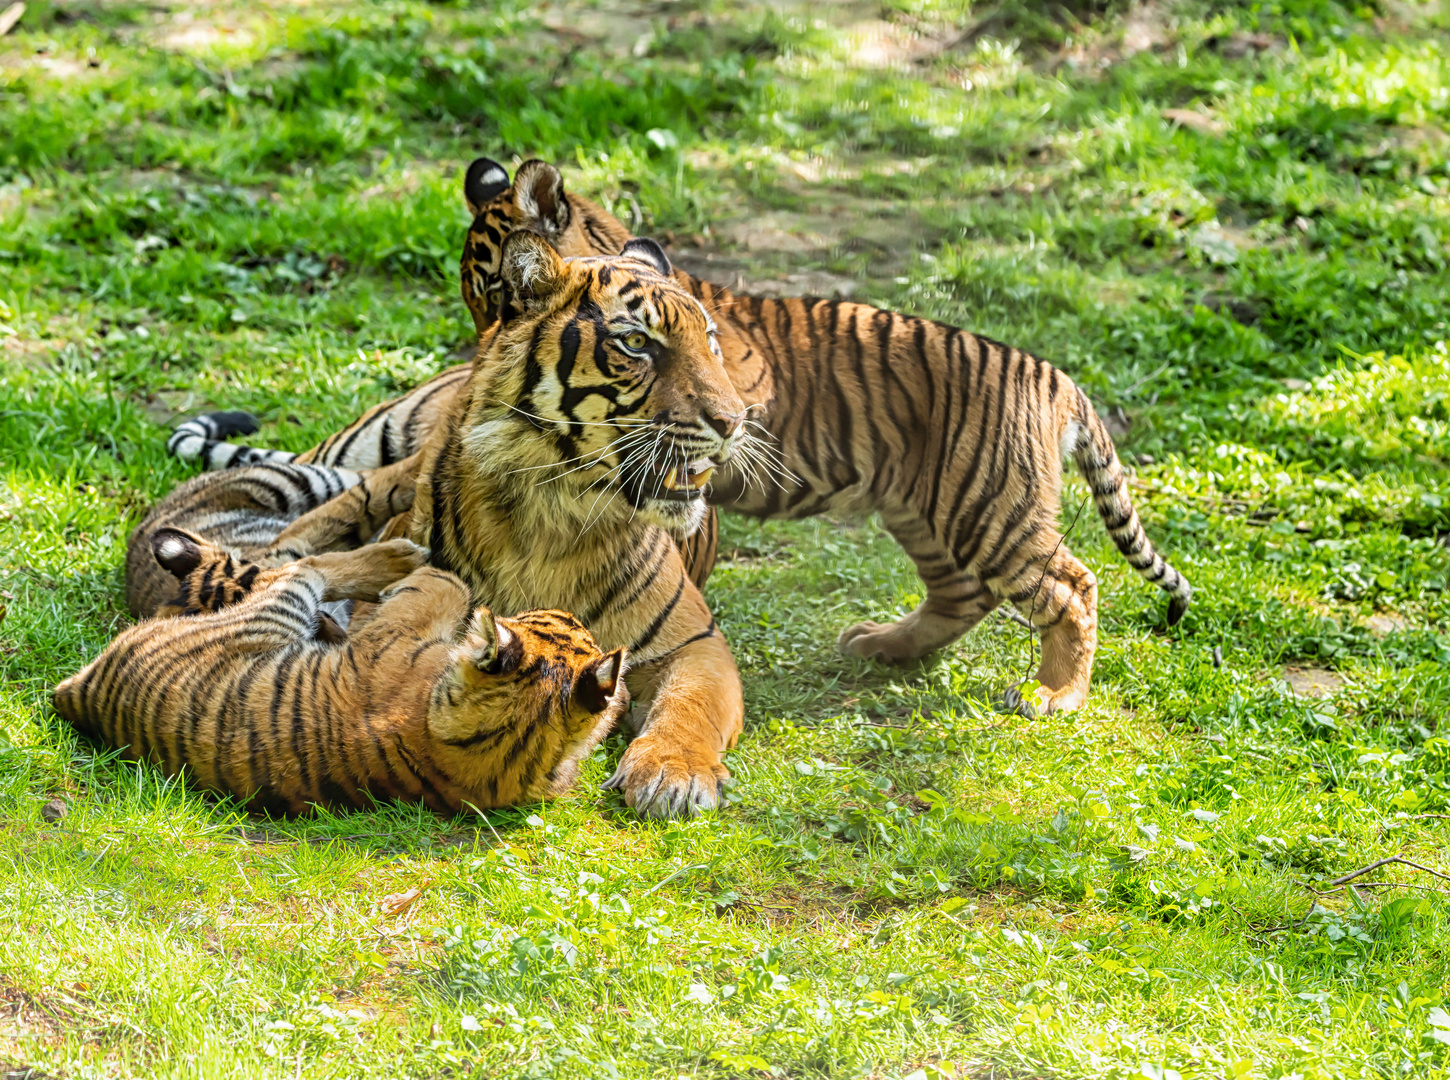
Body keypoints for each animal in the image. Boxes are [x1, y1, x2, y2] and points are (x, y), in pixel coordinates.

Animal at [53, 530, 632, 817]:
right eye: (561, 622)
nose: (573, 614)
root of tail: (77, 692)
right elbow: (447, 586)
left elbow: (443, 586)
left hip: (275, 607)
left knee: (299, 568)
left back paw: (396, 556)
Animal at [169, 151, 1189, 719]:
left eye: (493, 291)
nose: (478, 351)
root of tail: (1055, 375)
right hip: (925, 511)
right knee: (963, 594)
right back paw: (884, 645)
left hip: (988, 507)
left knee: (1072, 586)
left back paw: (1056, 694)